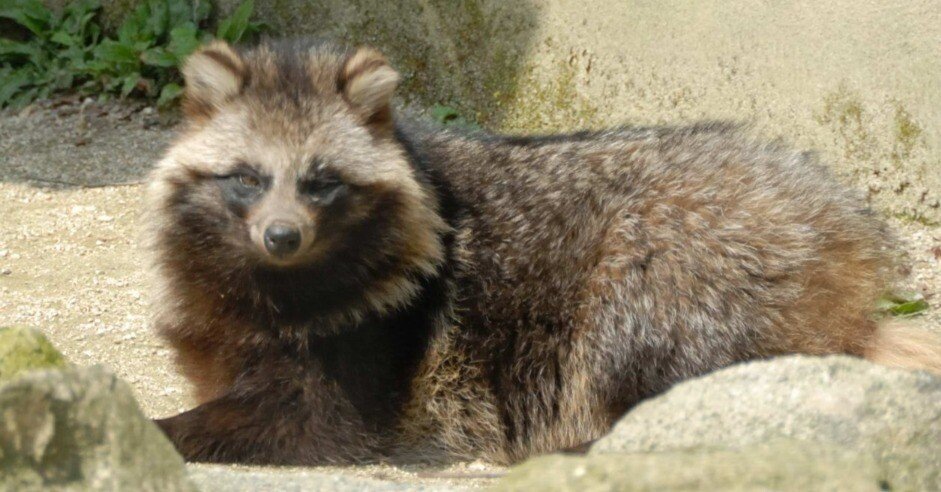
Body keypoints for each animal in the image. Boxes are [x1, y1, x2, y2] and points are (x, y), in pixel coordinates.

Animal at [146, 39, 941, 465]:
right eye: (248, 179)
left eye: (321, 182)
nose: (281, 236)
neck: (276, 281)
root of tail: (842, 230)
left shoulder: (375, 336)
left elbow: (309, 421)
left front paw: (166, 432)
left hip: (684, 256)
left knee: (635, 333)